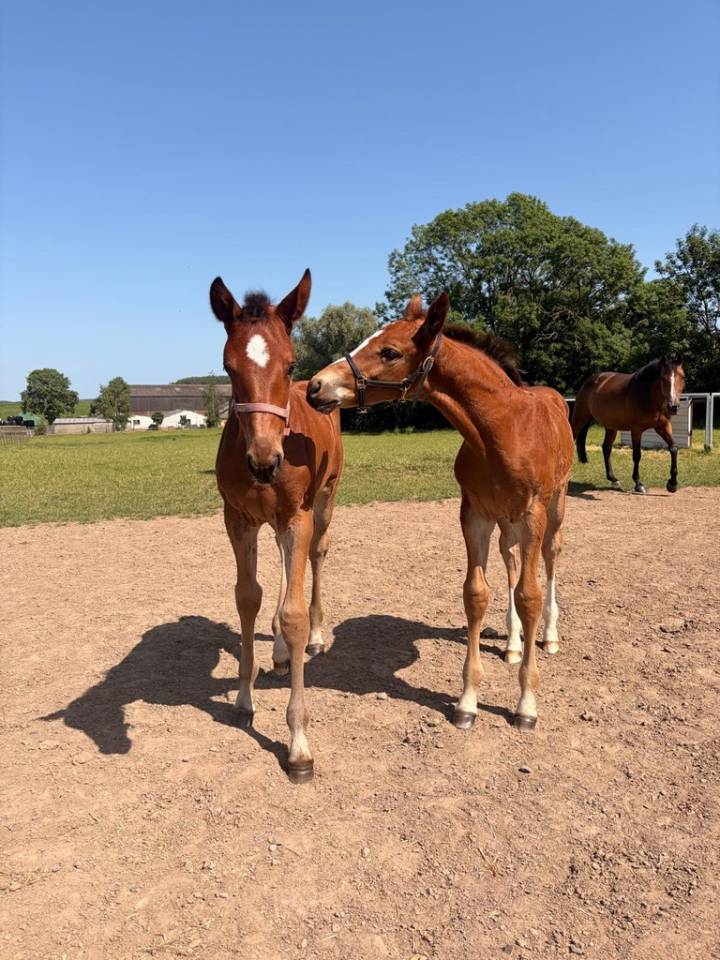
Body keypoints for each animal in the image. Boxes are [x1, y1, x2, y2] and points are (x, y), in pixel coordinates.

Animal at [210, 270, 343, 783]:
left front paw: (299, 745)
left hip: (323, 502)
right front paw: (244, 699)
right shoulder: (238, 519)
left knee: (316, 557)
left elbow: (295, 615)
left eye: (290, 365)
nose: (264, 463)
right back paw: (283, 653)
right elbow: (248, 597)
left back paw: (316, 639)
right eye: (228, 368)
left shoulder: (297, 516)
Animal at [306, 293, 574, 732]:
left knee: (550, 556)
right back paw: (513, 643)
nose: (316, 386)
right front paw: (467, 702)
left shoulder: (533, 512)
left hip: (555, 505)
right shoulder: (474, 514)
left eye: (389, 351)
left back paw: (548, 637)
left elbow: (530, 595)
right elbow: (477, 594)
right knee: (511, 559)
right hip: (506, 520)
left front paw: (526, 706)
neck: (502, 430)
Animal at [571, 356, 686, 494]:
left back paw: (613, 479)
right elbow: (637, 455)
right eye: (663, 377)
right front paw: (638, 484)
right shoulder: (636, 430)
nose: (673, 406)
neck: (647, 395)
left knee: (606, 448)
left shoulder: (663, 426)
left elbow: (673, 448)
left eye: (682, 377)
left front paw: (672, 483)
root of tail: (590, 380)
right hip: (580, 418)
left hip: (611, 427)